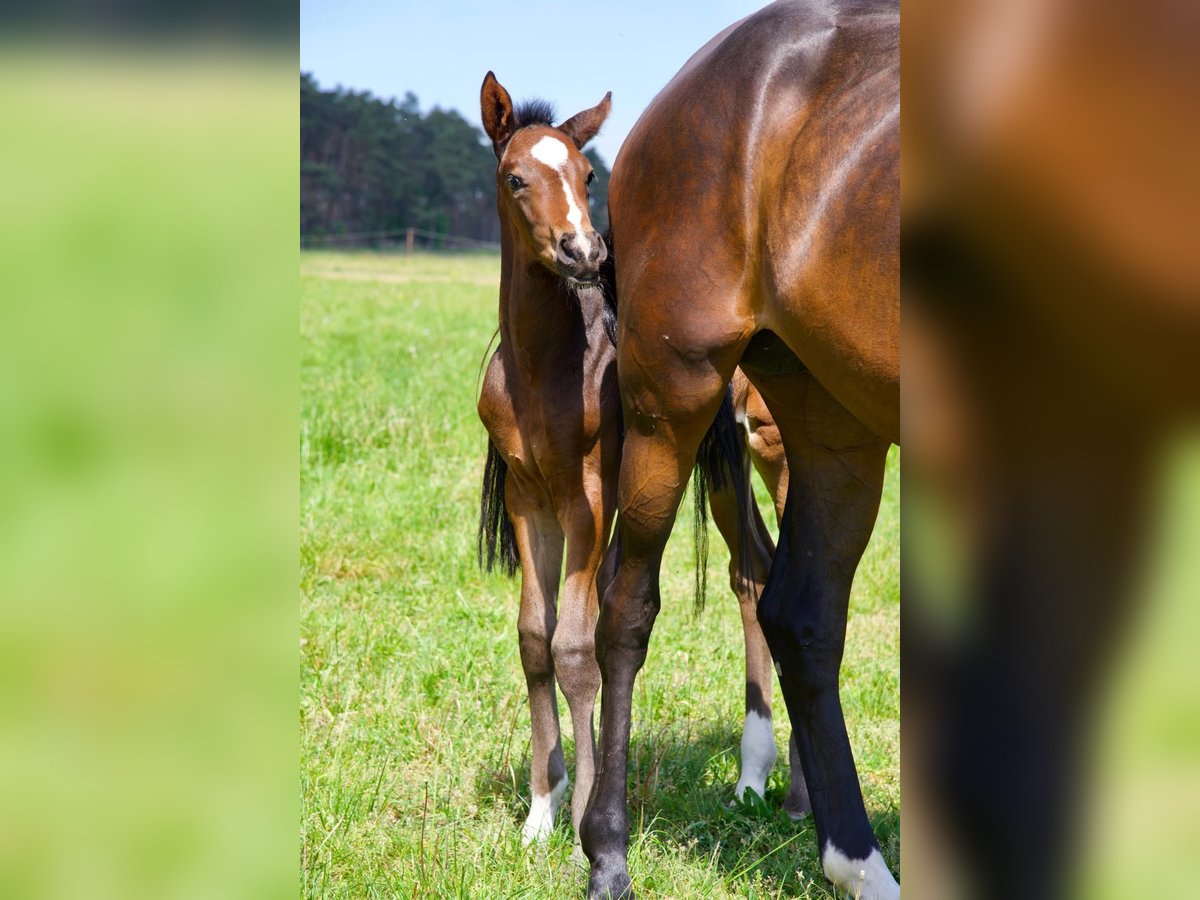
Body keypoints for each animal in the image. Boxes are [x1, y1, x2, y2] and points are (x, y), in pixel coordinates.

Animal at [472, 72, 801, 854]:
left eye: (589, 174)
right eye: (516, 176)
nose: (582, 250)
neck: (544, 367)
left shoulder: (589, 500)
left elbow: (575, 645)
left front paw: (581, 816)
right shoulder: (531, 500)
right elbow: (534, 638)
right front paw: (540, 811)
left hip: (773, 453)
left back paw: (797, 794)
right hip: (720, 468)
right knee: (755, 575)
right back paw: (754, 779)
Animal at [580, 3, 902, 897]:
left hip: (833, 422)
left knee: (800, 615)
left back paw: (857, 859)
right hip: (672, 403)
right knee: (627, 605)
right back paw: (608, 851)